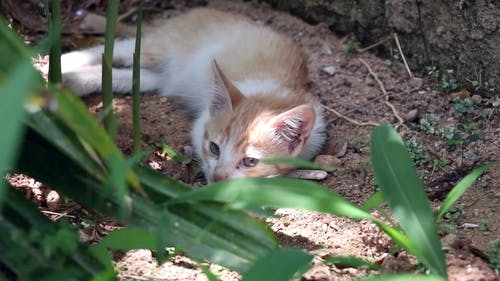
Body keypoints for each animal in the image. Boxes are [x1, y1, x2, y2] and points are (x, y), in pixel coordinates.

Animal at [60, 8, 326, 182]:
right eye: (214, 148)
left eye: (250, 162)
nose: (219, 177)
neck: (273, 98)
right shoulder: (201, 124)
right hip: (160, 48)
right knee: (114, 49)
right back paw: (62, 62)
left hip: (160, 76)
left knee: (129, 76)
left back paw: (74, 80)